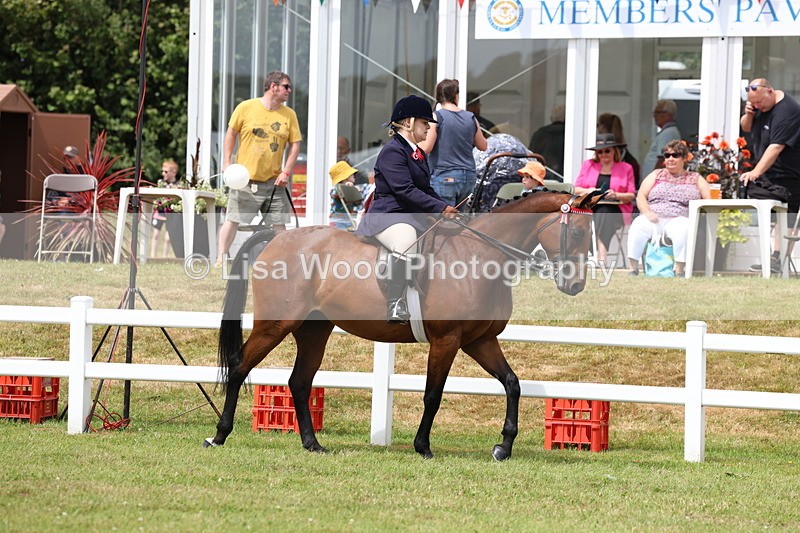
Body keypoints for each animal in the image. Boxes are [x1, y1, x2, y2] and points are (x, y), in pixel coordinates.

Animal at [204, 190, 603, 460]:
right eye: (577, 234)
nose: (575, 285)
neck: (480, 256)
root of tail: (280, 235)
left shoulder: (480, 340)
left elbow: (512, 384)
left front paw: (503, 447)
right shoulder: (447, 340)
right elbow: (433, 394)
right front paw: (423, 446)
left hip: (313, 330)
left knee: (299, 382)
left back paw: (312, 444)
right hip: (275, 324)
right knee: (239, 366)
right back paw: (219, 435)